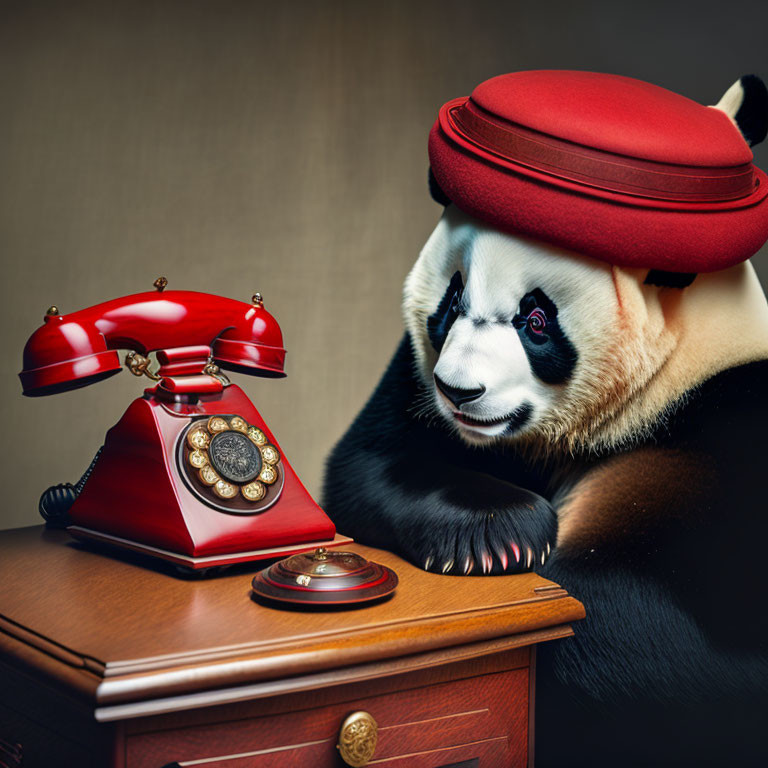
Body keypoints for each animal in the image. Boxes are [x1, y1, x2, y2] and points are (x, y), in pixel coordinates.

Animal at [320, 73, 768, 768]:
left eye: (535, 320)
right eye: (452, 299)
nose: (459, 390)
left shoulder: (723, 441)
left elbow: (611, 620)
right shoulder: (414, 380)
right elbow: (371, 462)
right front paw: (498, 534)